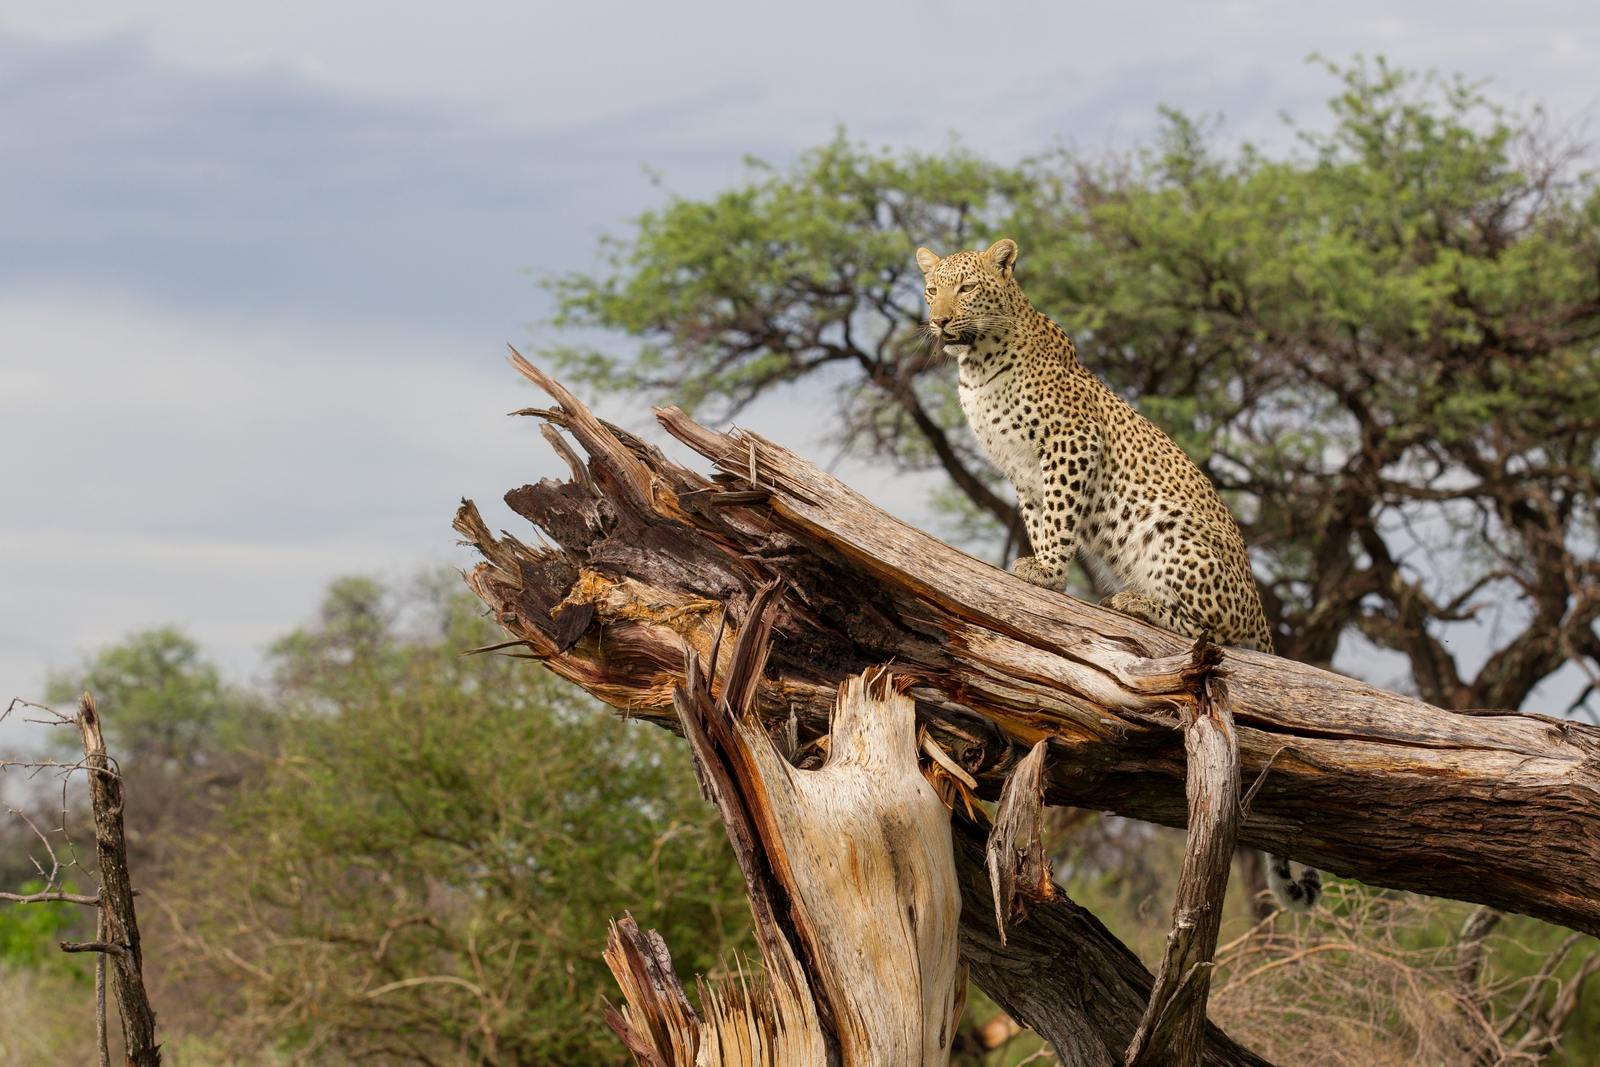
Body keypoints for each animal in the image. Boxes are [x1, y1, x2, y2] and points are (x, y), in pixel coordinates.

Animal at [918, 238, 1321, 912]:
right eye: (932, 289)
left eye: (967, 288)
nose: (941, 320)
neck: (975, 365)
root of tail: (1263, 617)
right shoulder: (1024, 475)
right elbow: (1040, 517)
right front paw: (1041, 568)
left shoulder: (1071, 446)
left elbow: (1058, 519)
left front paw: (1047, 575)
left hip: (1172, 537)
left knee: (1206, 633)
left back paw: (1134, 604)